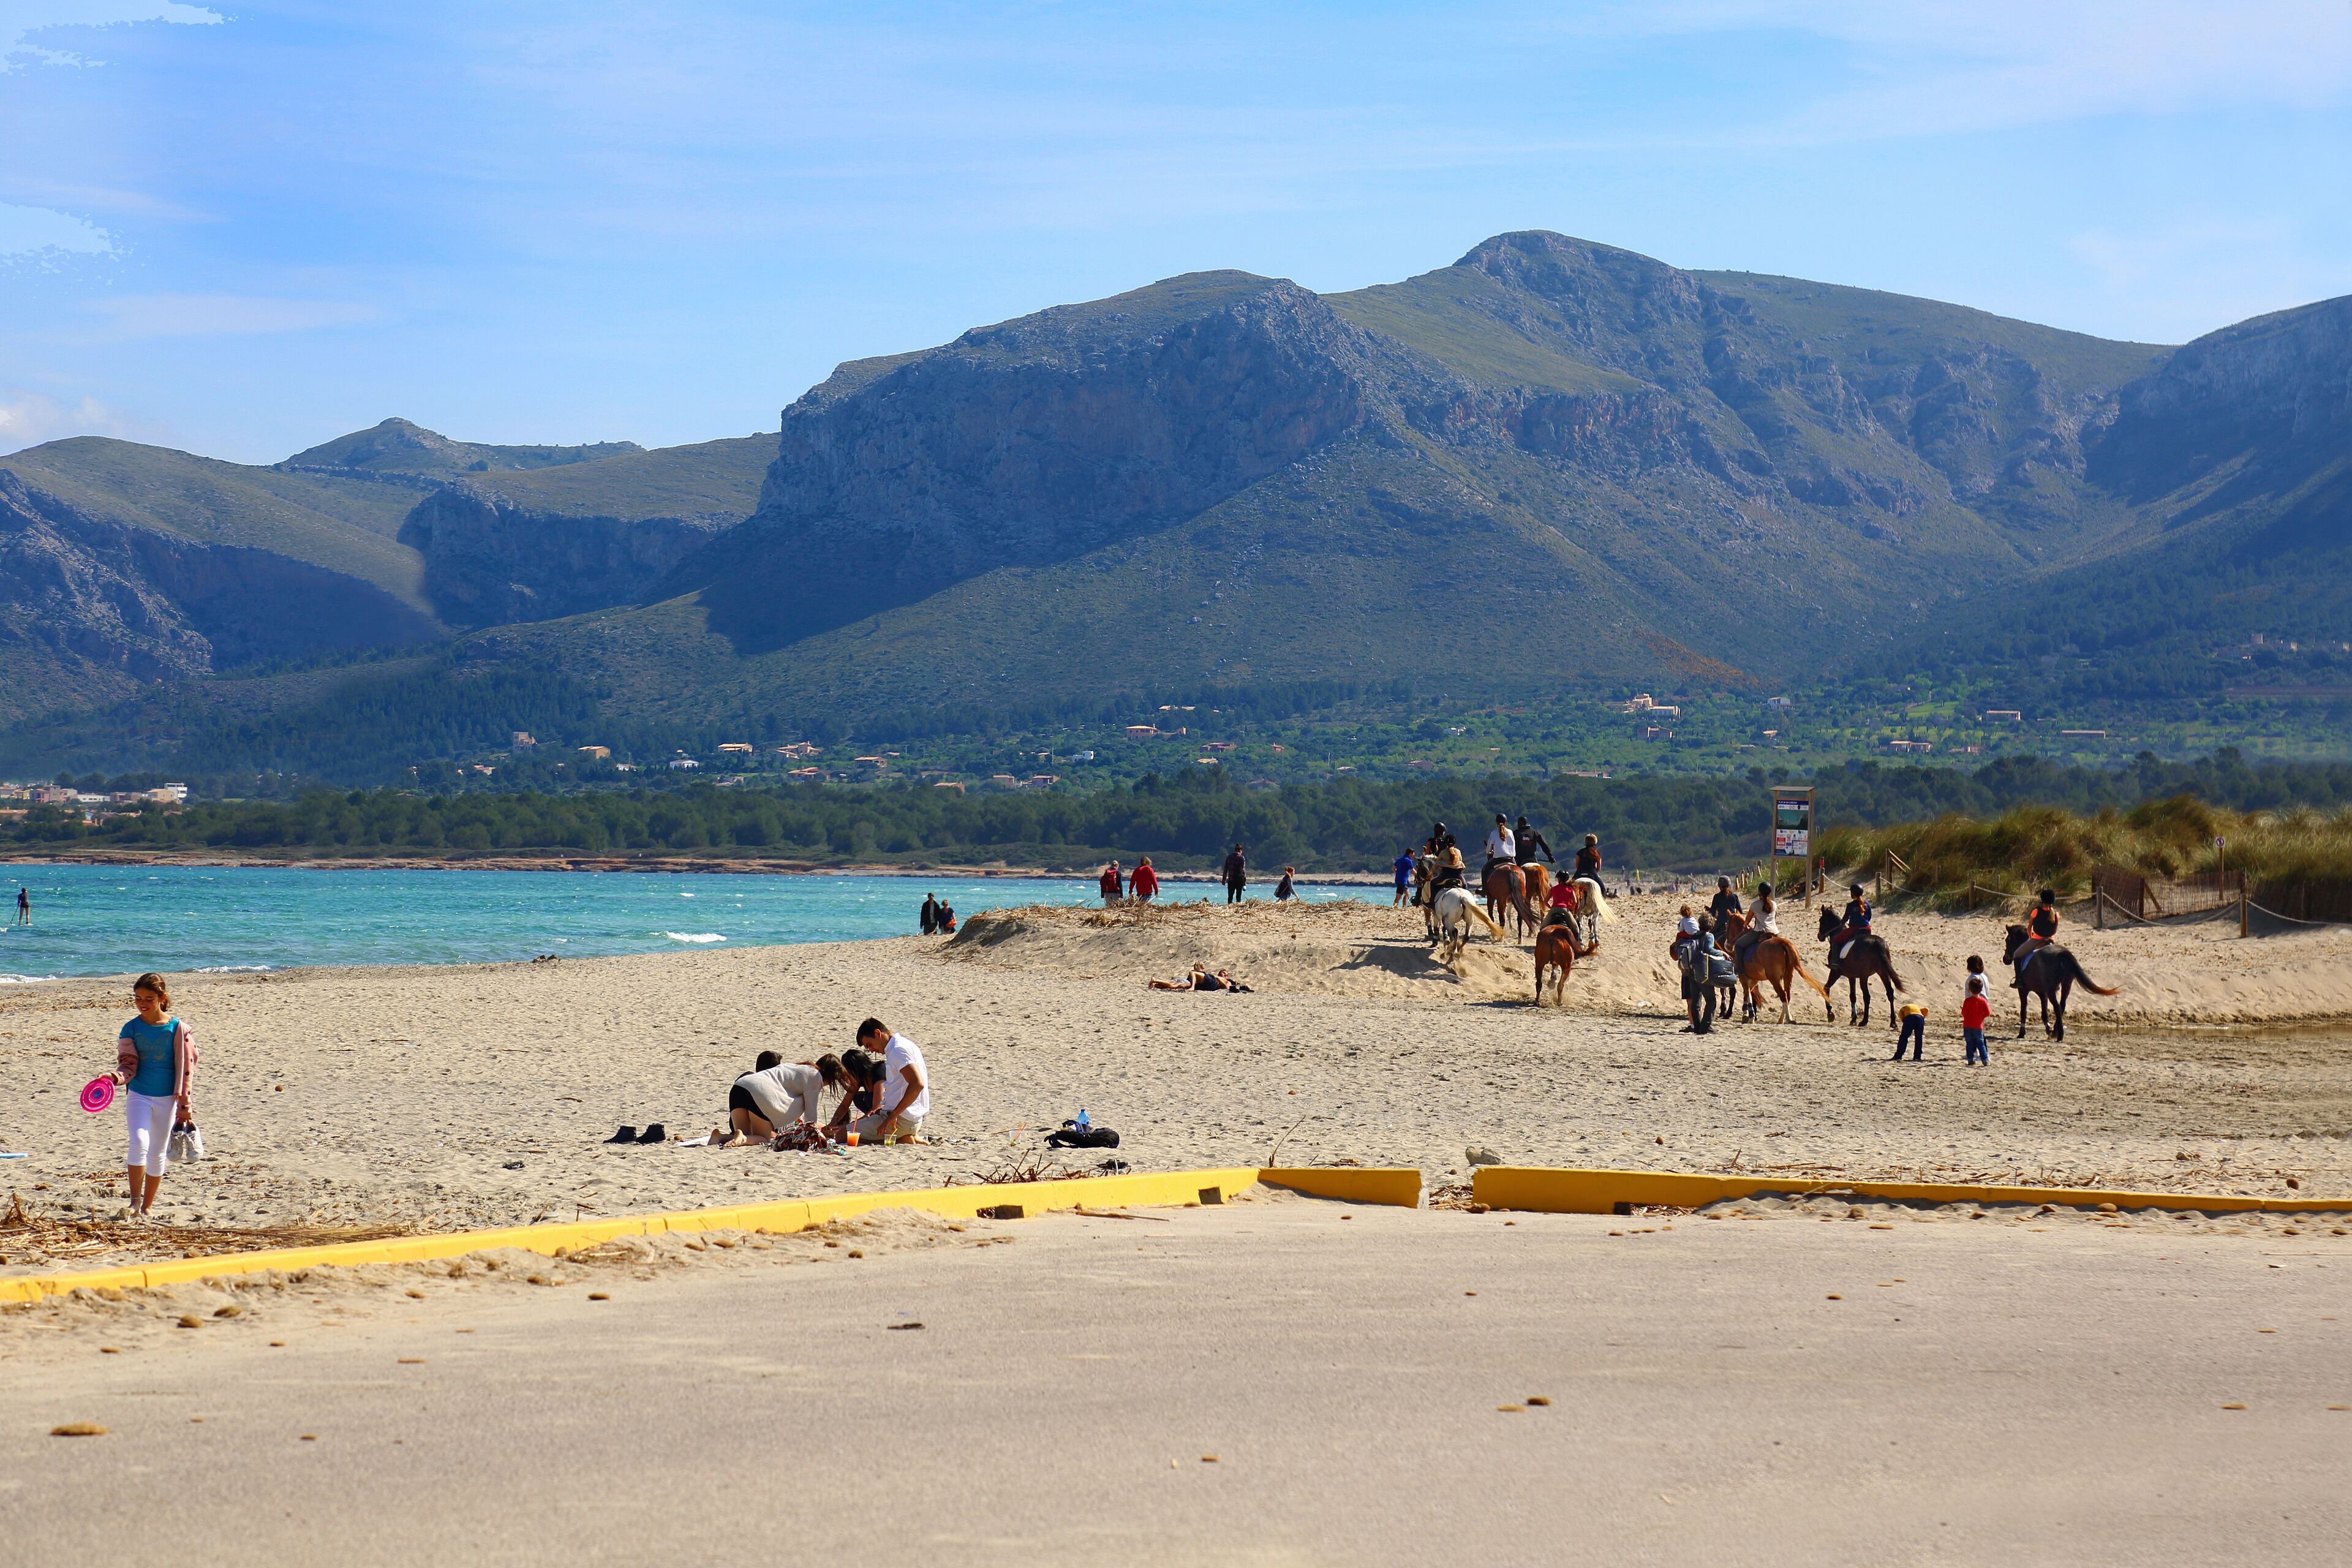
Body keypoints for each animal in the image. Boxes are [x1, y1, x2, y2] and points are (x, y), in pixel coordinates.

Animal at [1432, 886, 1508, 965]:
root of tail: (1462, 897)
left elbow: (1437, 928)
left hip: (1447, 921)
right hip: (1468, 920)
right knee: (1466, 937)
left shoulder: (1436, 916)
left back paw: (1454, 952)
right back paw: (1455, 953)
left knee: (1455, 932)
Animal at [1814, 905, 1905, 1026]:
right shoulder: (1851, 976)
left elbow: (1826, 988)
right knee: (1890, 993)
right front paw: (1853, 1018)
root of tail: (1877, 942)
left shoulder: (1835, 972)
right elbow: (1853, 996)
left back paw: (1864, 1021)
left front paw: (1830, 1013)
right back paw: (1893, 1022)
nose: (1819, 936)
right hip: (1883, 972)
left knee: (1867, 996)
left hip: (1864, 976)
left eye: (1821, 920)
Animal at [2001, 925, 2118, 1041]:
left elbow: (2024, 1012)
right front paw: (2048, 1031)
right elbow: (2044, 1014)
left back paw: (2060, 1035)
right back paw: (2055, 1032)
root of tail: (2061, 953)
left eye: (2007, 940)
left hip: (2051, 990)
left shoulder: (2023, 991)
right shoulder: (2042, 993)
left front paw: (2022, 1033)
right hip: (2066, 984)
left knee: (2057, 1007)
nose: (2005, 960)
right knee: (2062, 1005)